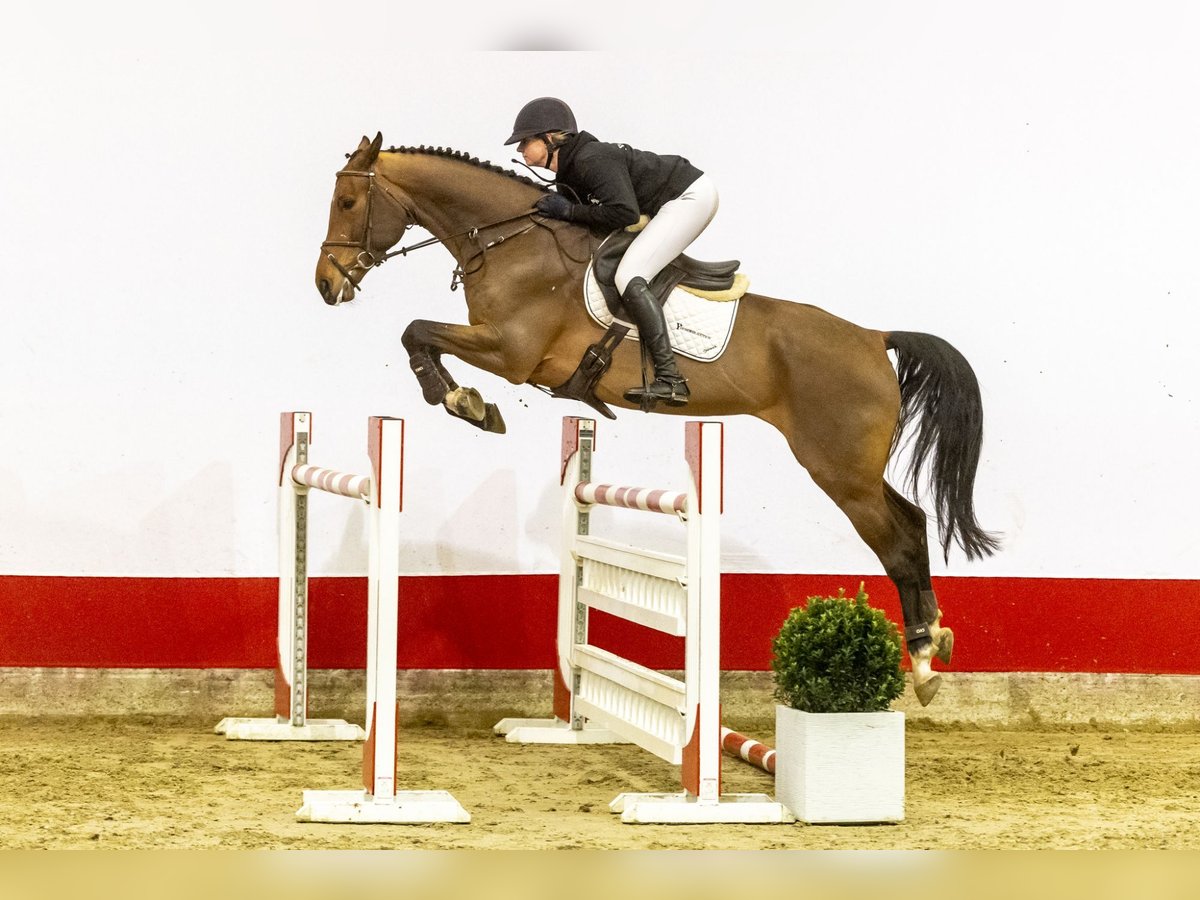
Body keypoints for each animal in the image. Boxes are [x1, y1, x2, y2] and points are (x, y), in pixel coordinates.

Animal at [314, 133, 998, 710]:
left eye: (347, 202)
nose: (325, 285)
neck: (514, 244)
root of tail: (874, 337)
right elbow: (419, 335)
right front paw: (467, 402)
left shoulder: (510, 352)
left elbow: (417, 331)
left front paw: (465, 403)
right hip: (852, 468)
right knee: (912, 521)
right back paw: (934, 643)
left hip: (839, 470)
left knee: (897, 541)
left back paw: (923, 661)